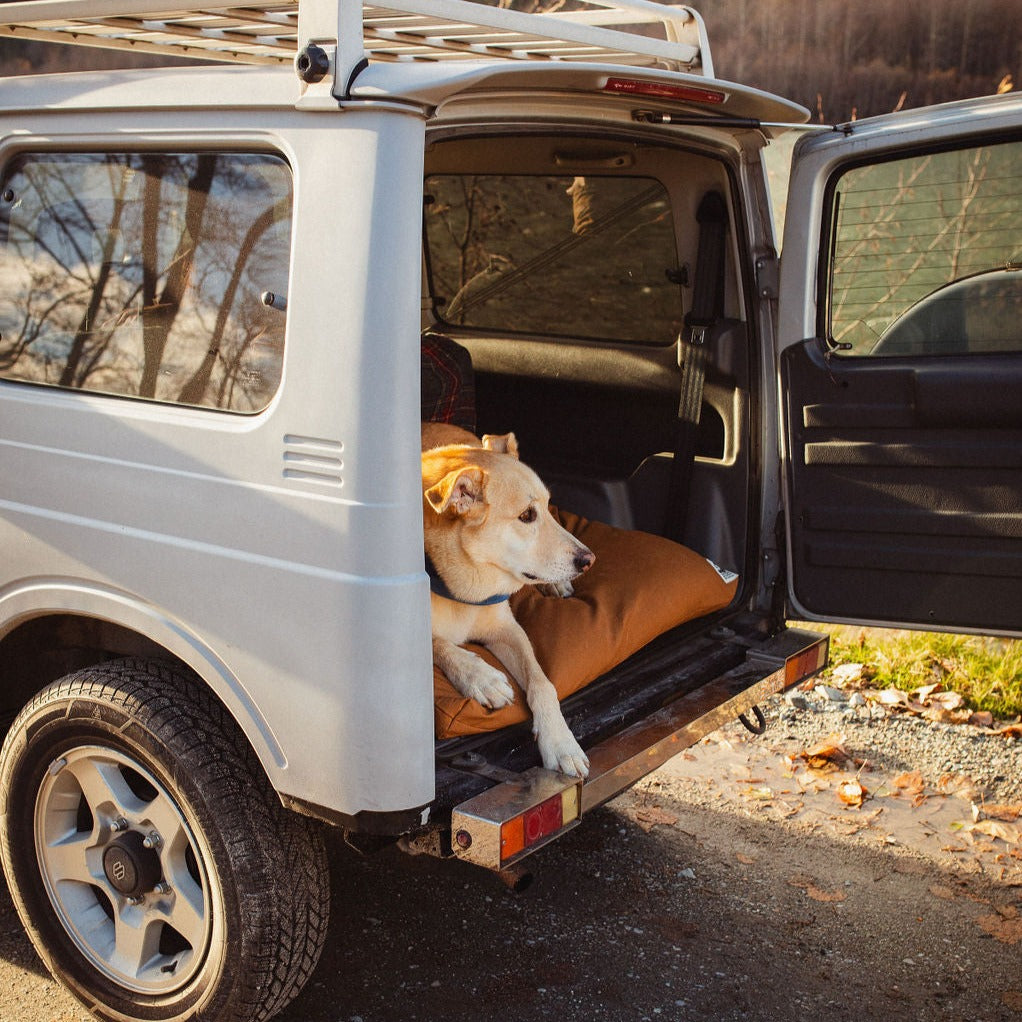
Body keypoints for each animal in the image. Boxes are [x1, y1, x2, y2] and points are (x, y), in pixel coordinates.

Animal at [423, 421, 596, 772]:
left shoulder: (508, 629)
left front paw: (560, 742)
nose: (589, 560)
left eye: (547, 507)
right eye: (527, 515)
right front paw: (480, 677)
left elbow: (542, 682)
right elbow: (439, 643)